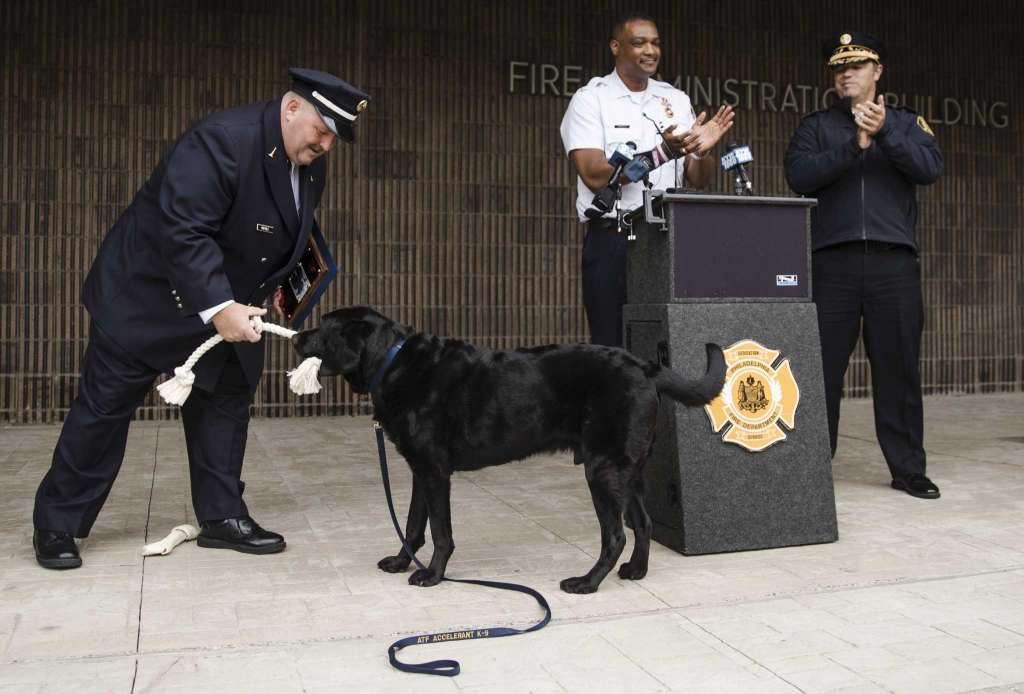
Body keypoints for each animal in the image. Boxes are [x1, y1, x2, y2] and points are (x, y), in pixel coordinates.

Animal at [294, 307, 729, 593]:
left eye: (324, 328)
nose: (296, 336)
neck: (393, 361)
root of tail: (643, 366)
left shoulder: (435, 472)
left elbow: (440, 532)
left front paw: (432, 575)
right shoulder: (420, 469)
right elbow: (414, 525)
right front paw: (402, 562)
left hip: (602, 470)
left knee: (615, 536)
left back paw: (586, 582)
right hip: (628, 469)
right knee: (643, 522)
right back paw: (636, 571)